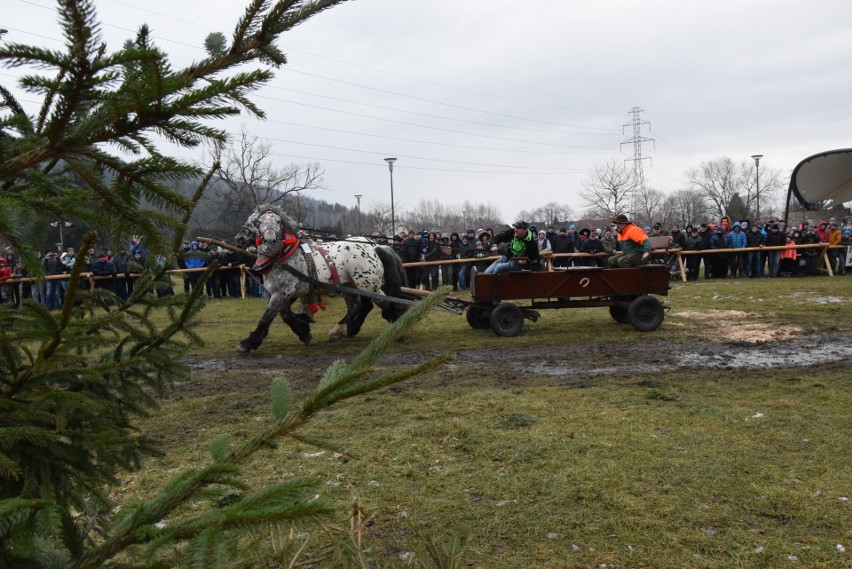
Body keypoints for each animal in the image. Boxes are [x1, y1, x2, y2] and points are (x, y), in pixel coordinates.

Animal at [233, 206, 406, 352]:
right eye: (258, 222)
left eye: (278, 222)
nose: (240, 238)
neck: (283, 257)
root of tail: (374, 247)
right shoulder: (282, 293)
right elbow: (285, 314)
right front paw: (303, 328)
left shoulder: (282, 292)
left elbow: (267, 317)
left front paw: (246, 344)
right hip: (350, 286)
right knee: (357, 307)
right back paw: (342, 330)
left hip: (369, 286)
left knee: (385, 304)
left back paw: (395, 330)